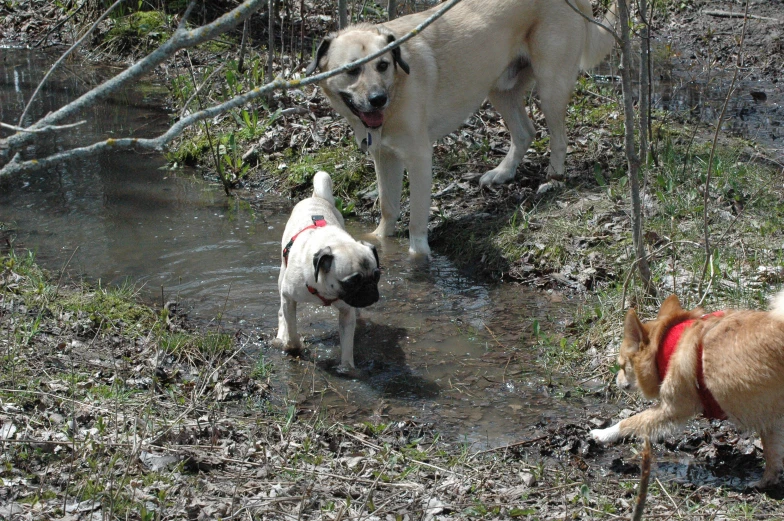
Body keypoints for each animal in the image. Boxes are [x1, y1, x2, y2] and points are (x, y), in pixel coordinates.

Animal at [276, 172, 380, 370]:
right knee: (281, 313)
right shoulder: (289, 298)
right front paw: (292, 346)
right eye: (352, 282)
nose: (370, 289)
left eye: (377, 276)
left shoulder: (346, 312)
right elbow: (291, 328)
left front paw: (347, 368)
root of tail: (317, 197)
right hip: (281, 278)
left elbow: (347, 344)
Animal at [306, 0, 620, 256]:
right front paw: (381, 240)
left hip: (550, 85)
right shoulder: (385, 157)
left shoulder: (419, 158)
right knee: (526, 133)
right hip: (500, 90)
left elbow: (416, 220)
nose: (377, 99)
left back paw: (553, 179)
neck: (397, 86)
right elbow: (388, 208)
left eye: (383, 65)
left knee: (559, 138)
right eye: (352, 70)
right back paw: (502, 173)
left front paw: (417, 257)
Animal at [592, 292, 784, 488]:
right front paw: (766, 482)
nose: (616, 380)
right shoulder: (771, 419)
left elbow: (631, 422)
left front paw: (603, 433)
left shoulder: (672, 409)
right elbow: (773, 454)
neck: (668, 343)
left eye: (622, 366)